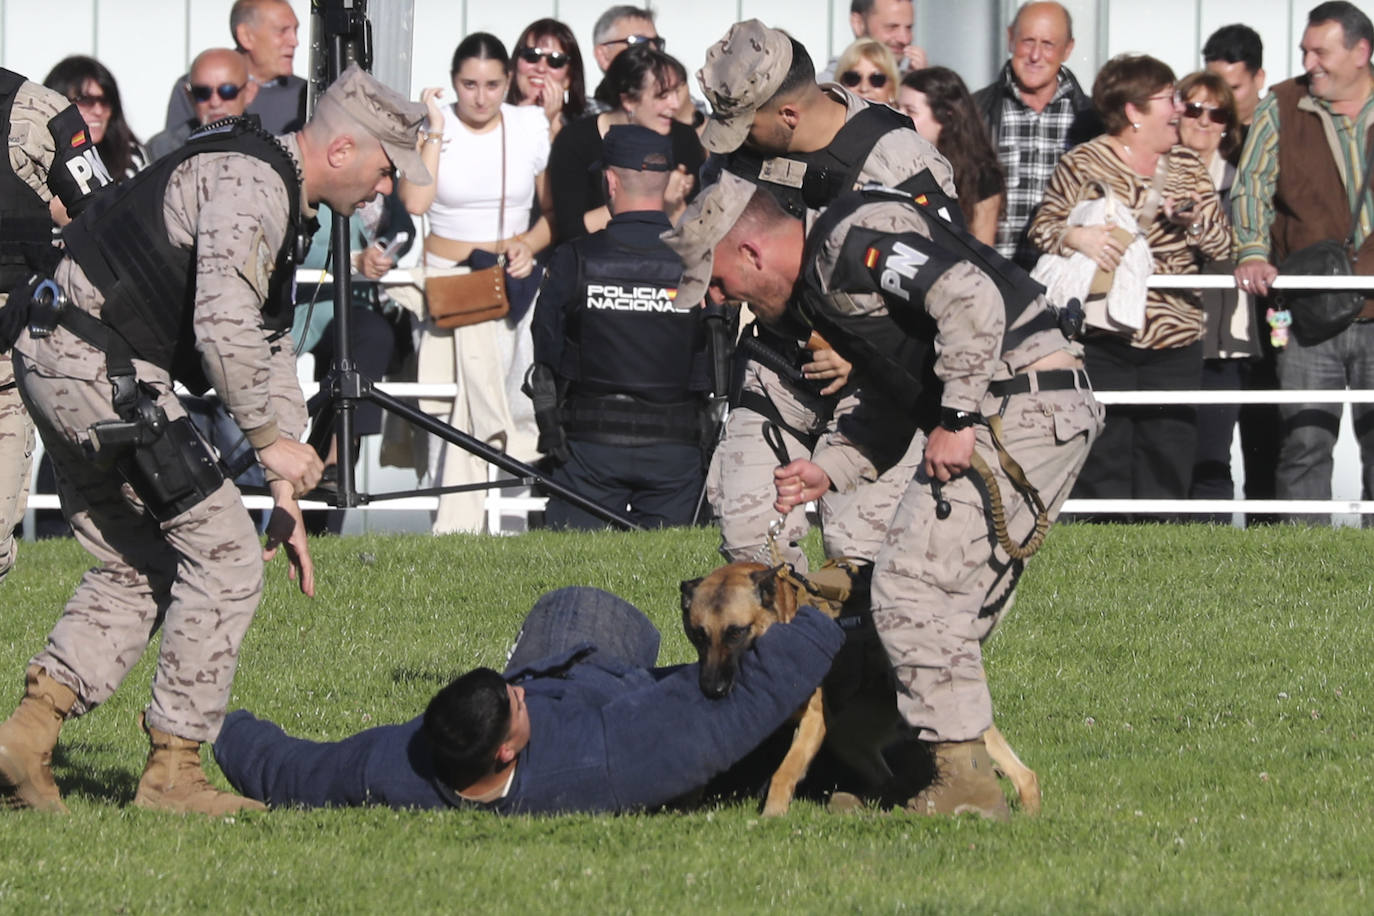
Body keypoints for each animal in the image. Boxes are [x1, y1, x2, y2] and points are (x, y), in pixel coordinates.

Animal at [681, 563, 1044, 818]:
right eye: (699, 635)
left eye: (736, 632)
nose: (711, 689)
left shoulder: (814, 720)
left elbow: (786, 769)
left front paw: (773, 813)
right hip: (848, 737)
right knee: (887, 777)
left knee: (1023, 773)